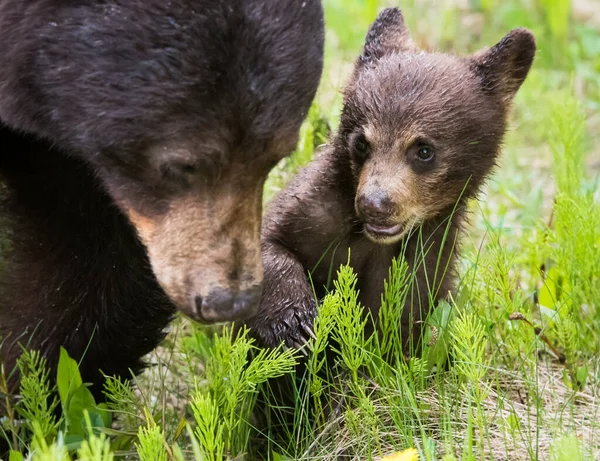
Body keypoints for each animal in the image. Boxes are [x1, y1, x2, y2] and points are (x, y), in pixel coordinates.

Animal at [244, 9, 536, 348]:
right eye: (361, 143)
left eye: (424, 150)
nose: (374, 204)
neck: (367, 239)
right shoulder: (312, 206)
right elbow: (266, 241)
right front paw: (294, 322)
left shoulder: (427, 260)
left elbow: (401, 327)